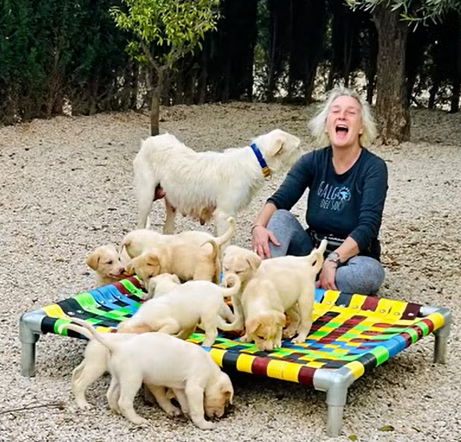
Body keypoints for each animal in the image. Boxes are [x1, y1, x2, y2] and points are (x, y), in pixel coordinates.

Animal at [132, 129, 302, 237]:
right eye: (298, 147)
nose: (306, 156)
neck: (257, 160)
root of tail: (150, 140)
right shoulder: (224, 214)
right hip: (146, 198)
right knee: (139, 226)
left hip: (171, 201)